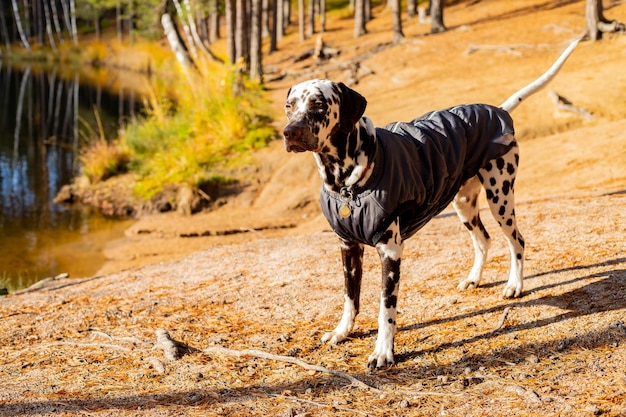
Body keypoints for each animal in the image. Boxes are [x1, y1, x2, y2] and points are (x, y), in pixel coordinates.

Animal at [282, 39, 576, 368]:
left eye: (318, 104)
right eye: (289, 105)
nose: (289, 132)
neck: (346, 184)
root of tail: (498, 110)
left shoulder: (391, 253)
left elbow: (385, 310)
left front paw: (383, 351)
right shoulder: (348, 248)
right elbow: (350, 298)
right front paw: (342, 332)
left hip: (500, 198)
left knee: (517, 242)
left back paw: (515, 285)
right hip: (463, 204)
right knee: (483, 240)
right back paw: (474, 278)